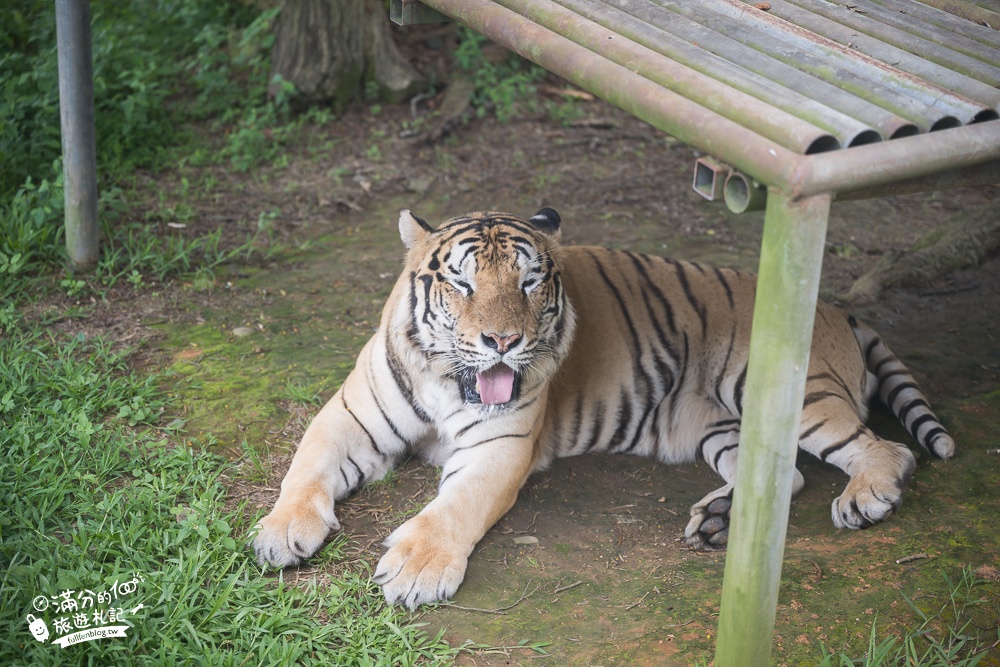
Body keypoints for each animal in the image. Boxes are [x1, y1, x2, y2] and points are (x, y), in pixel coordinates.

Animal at [250, 207, 952, 612]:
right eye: (463, 283)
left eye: (530, 282)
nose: (502, 341)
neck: (447, 380)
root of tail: (838, 309)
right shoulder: (347, 415)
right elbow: (304, 469)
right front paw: (280, 532)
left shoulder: (499, 447)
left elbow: (455, 508)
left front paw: (416, 570)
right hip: (724, 428)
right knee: (789, 476)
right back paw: (719, 521)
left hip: (777, 390)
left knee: (886, 449)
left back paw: (865, 499)